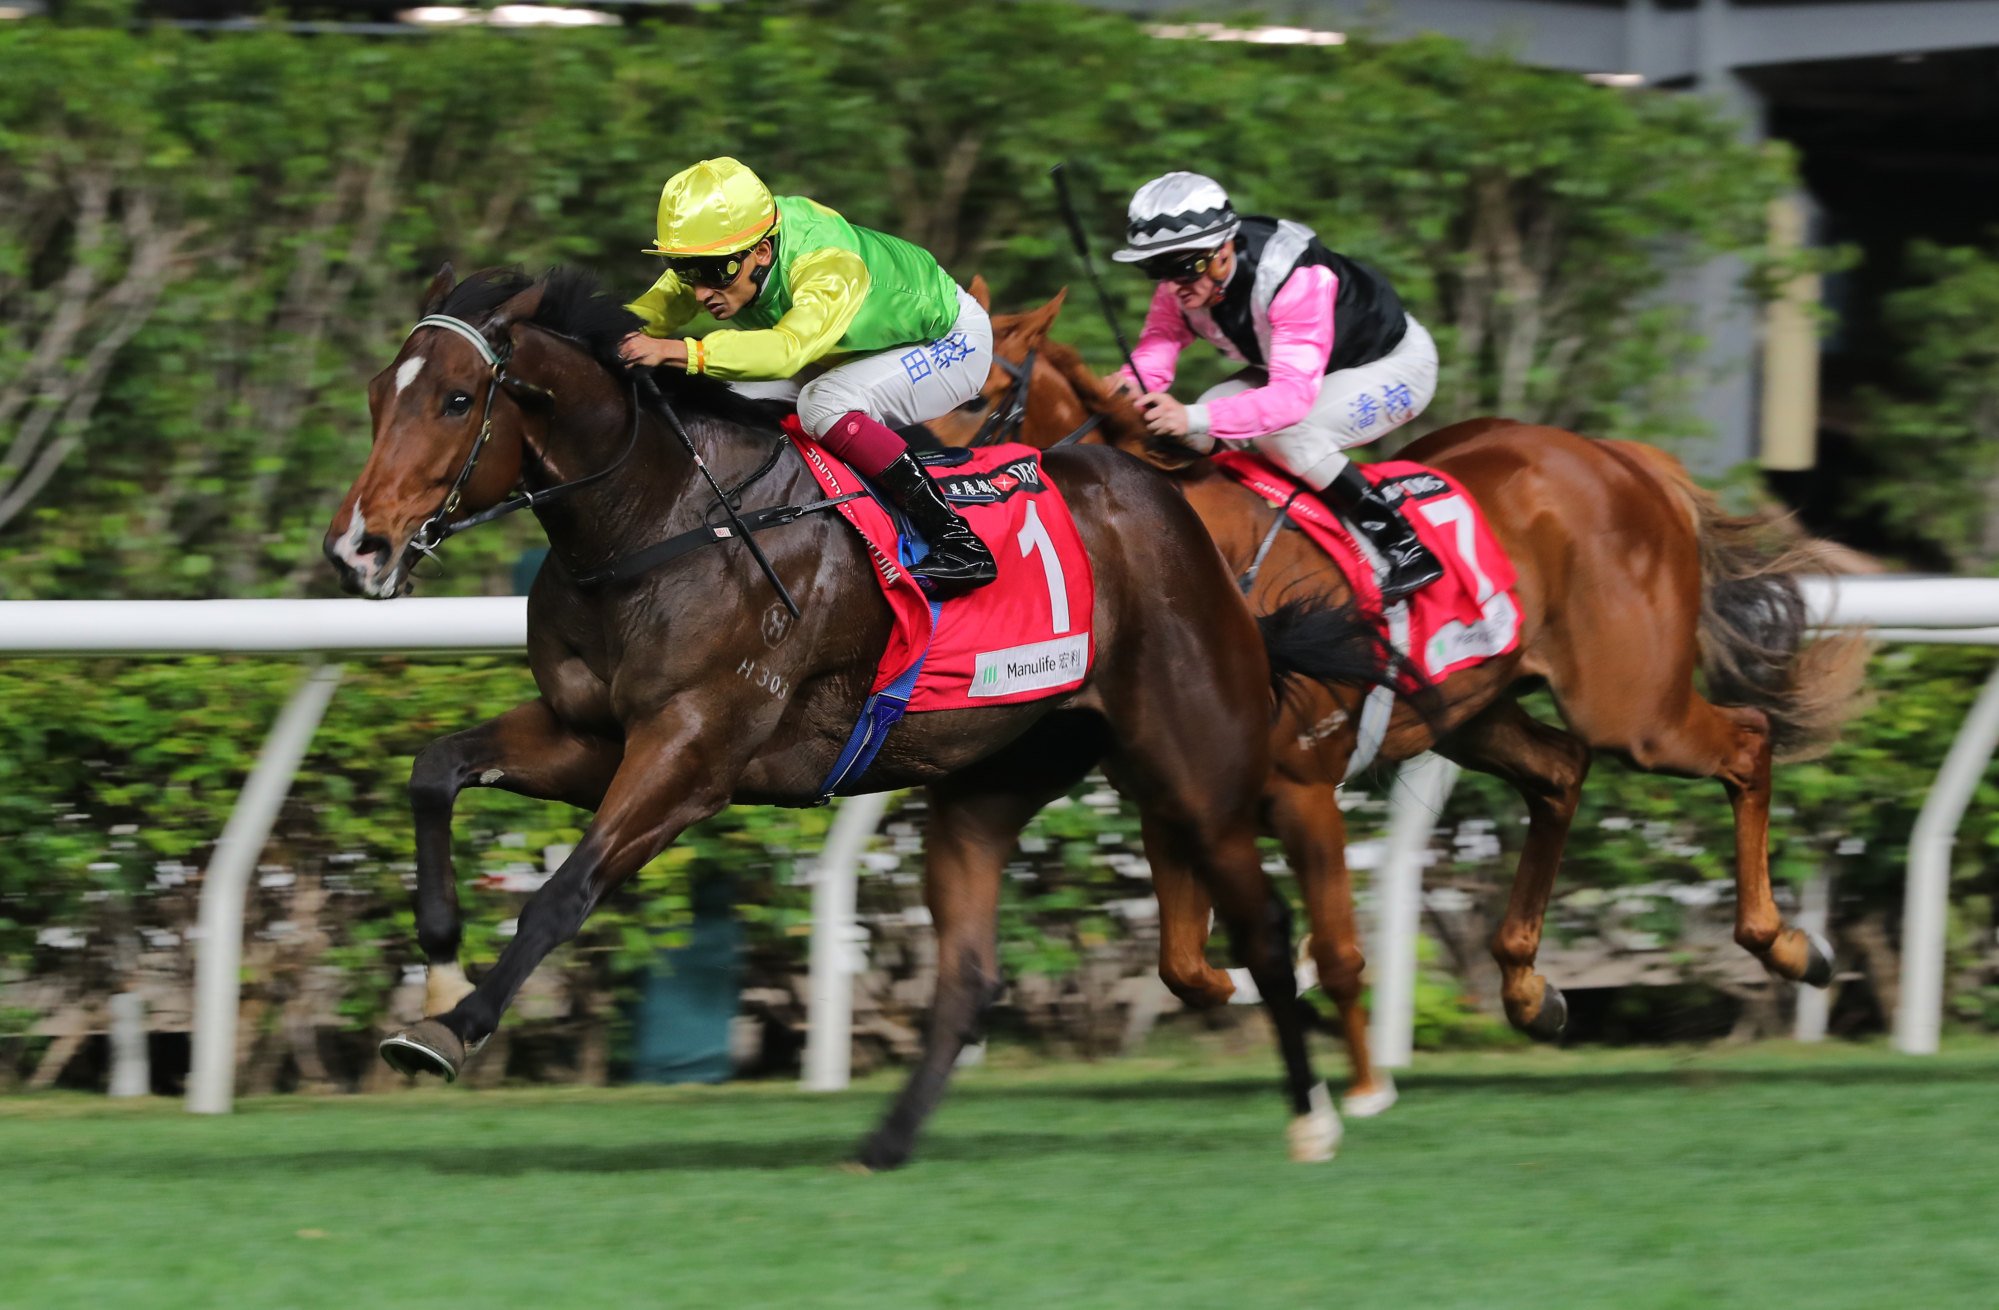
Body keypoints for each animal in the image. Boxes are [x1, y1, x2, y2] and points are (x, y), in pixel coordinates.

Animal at [327, 266, 1391, 1168]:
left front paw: (452, 1027)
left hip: (1197, 760)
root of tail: (1171, 510)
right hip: (988, 784)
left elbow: (563, 893)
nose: (357, 549)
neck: (658, 521)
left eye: (456, 399)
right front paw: (436, 966)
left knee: (1264, 929)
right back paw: (884, 1142)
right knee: (968, 976)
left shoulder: (696, 750)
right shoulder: (597, 736)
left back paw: (1315, 1117)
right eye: (380, 394)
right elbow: (436, 768)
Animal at [927, 288, 1863, 1104]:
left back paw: (1785, 944)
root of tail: (1620, 458)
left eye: (973, 403)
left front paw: (1356, 1068)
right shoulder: (1174, 797)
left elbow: (1325, 950)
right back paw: (1528, 988)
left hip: (1633, 708)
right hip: (1471, 708)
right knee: (1559, 770)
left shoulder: (1302, 782)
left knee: (1743, 741)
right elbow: (1186, 967)